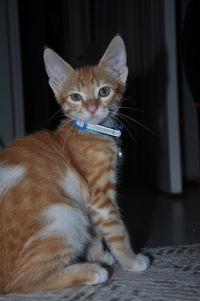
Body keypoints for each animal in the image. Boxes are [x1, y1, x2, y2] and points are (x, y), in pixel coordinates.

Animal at [0, 36, 148, 292]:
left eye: (104, 91)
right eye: (75, 97)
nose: (92, 108)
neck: (90, 130)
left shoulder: (90, 202)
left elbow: (96, 230)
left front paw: (99, 254)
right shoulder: (100, 196)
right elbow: (116, 231)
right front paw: (130, 261)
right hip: (64, 215)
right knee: (20, 283)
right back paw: (90, 272)